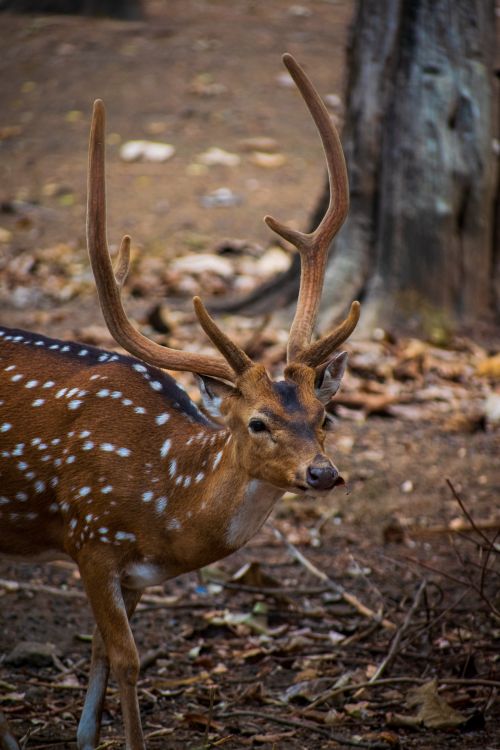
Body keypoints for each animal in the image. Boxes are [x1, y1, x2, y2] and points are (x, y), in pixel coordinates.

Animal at [0, 54, 360, 749]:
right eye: (258, 422)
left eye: (324, 415)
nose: (323, 473)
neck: (164, 512)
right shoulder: (90, 536)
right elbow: (127, 660)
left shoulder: (128, 572)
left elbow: (97, 656)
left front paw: (85, 737)